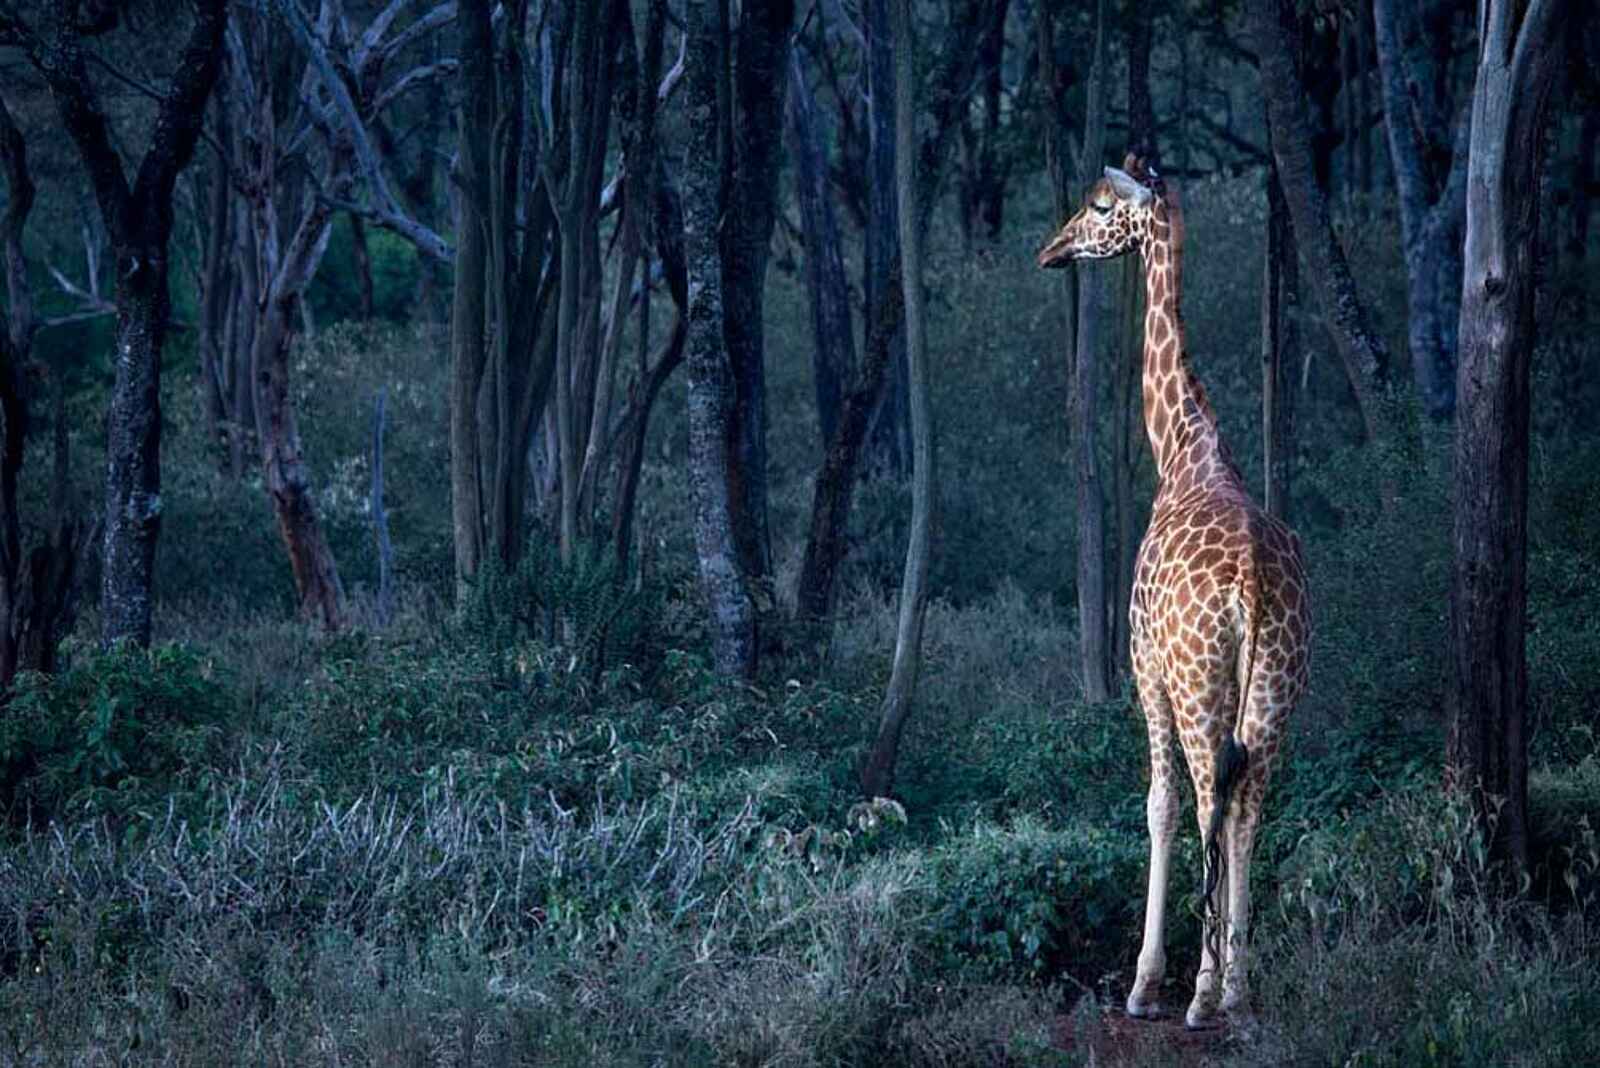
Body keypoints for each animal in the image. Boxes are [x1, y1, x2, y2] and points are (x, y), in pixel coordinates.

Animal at [1037, 155, 1311, 1029]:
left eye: (1099, 207)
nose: (1051, 249)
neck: (1182, 448)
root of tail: (1251, 584)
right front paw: (1211, 974)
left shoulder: (1145, 670)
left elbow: (1156, 804)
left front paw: (1146, 982)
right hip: (1277, 687)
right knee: (1249, 798)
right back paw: (1238, 989)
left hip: (1197, 684)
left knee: (1203, 798)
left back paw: (1200, 992)